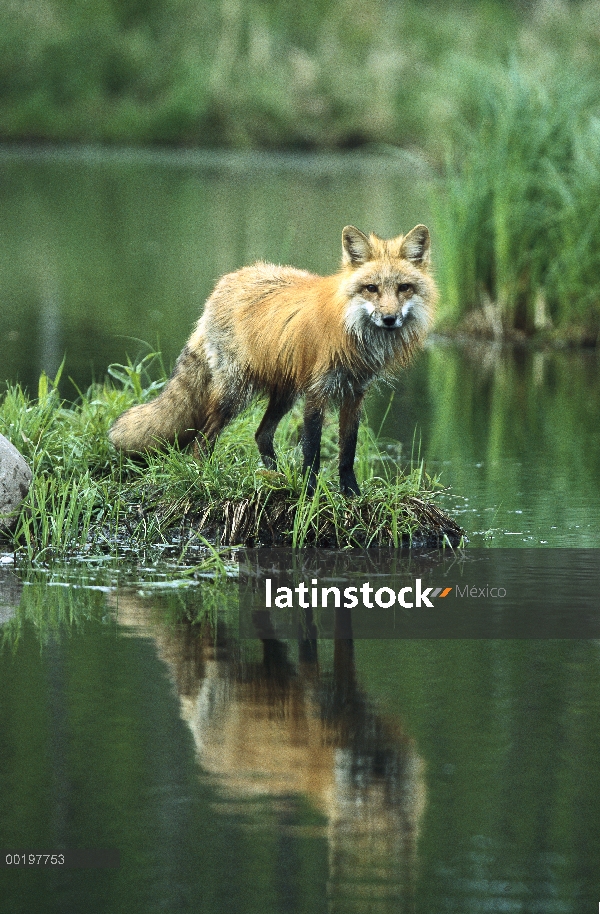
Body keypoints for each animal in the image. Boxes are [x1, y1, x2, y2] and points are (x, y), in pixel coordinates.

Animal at [109, 223, 436, 492]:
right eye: (372, 288)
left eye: (404, 288)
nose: (389, 319)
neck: (353, 330)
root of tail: (223, 283)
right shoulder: (317, 391)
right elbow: (312, 450)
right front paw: (310, 493)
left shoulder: (354, 393)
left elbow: (347, 451)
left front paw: (351, 494)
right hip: (235, 394)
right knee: (202, 441)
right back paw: (205, 477)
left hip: (284, 394)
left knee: (261, 435)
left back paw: (275, 477)